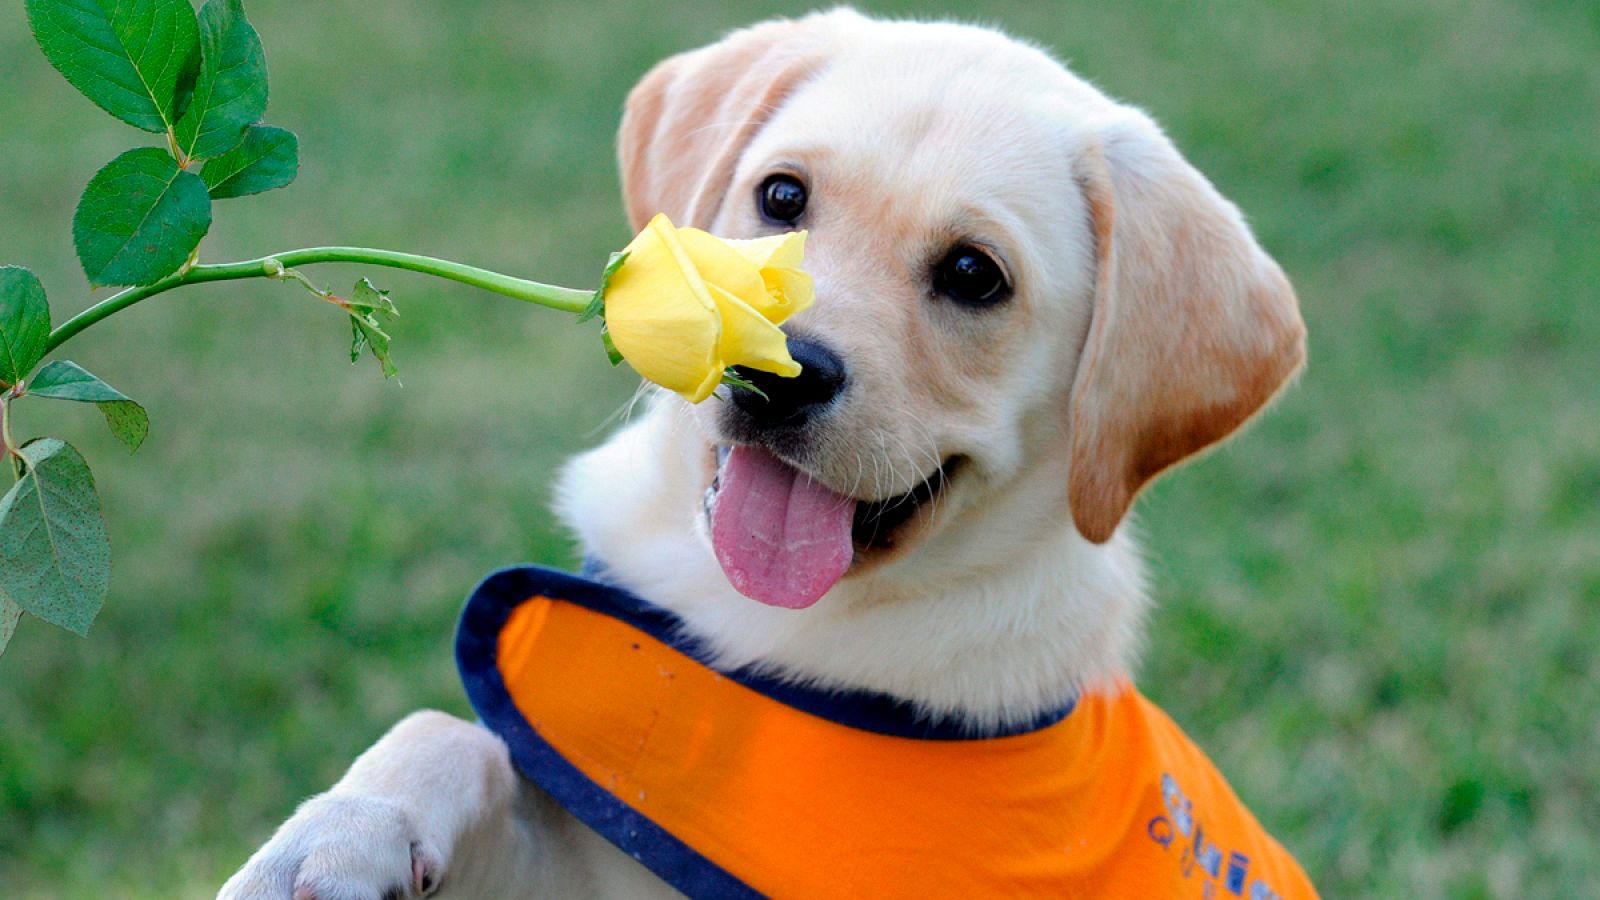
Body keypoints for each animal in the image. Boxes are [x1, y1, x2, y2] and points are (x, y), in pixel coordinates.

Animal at [225, 8, 1312, 896]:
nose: (778, 375)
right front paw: (333, 837)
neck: (759, 631)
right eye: (782, 196)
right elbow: (449, 732)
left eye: (975, 274)